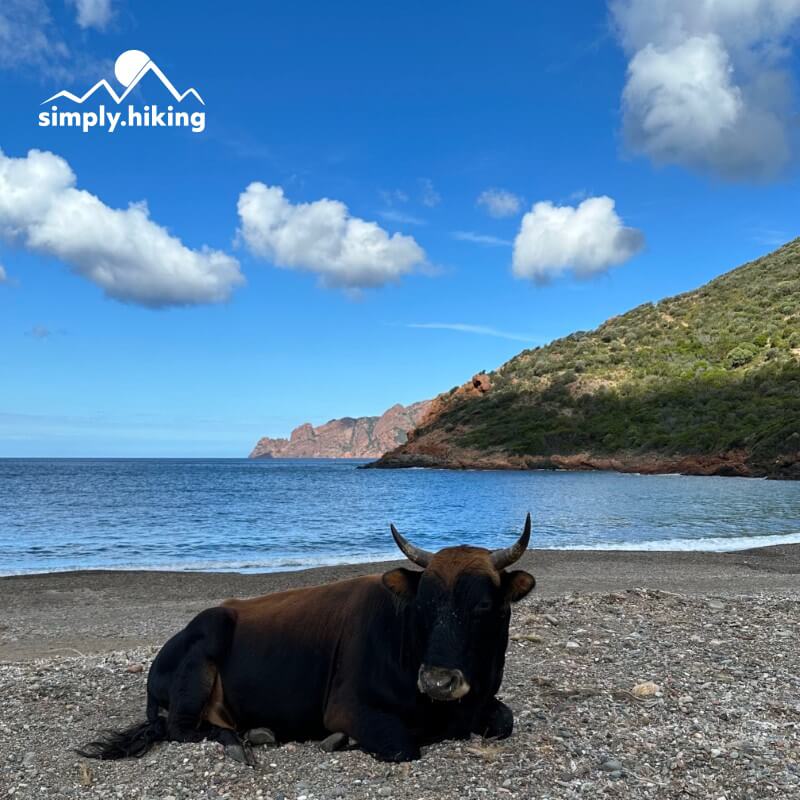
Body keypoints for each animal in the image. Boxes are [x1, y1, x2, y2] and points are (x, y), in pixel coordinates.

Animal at [81, 516, 536, 764]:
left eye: (483, 606)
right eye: (423, 604)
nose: (437, 680)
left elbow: (505, 719)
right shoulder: (348, 707)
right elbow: (403, 744)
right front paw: (340, 740)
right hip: (207, 640)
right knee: (181, 728)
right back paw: (244, 741)